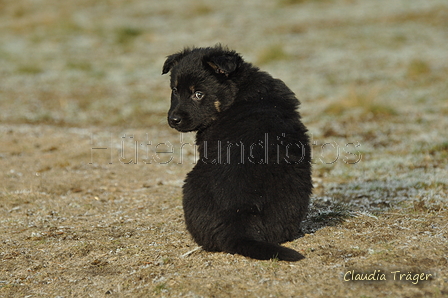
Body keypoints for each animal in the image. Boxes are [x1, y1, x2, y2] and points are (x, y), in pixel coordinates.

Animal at [163, 44, 314, 260]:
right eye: (175, 90)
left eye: (198, 94)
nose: (173, 120)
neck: (239, 91)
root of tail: (237, 225)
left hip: (189, 184)